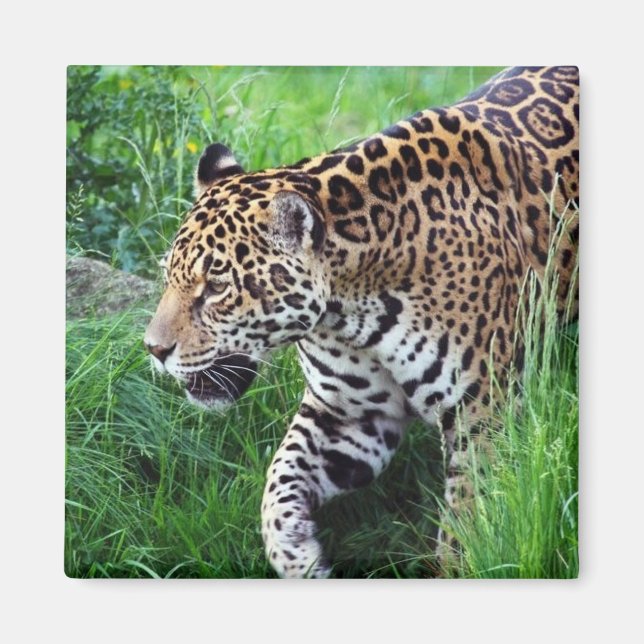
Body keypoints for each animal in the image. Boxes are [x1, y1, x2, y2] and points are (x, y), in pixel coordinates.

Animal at [144, 66, 579, 578]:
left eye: (215, 287)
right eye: (168, 275)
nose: (153, 350)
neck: (353, 308)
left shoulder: (482, 414)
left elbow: (467, 520)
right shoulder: (350, 416)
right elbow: (279, 478)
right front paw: (297, 554)